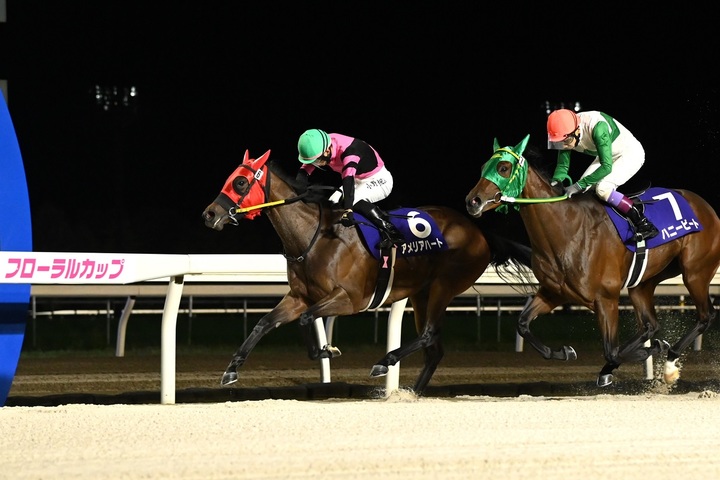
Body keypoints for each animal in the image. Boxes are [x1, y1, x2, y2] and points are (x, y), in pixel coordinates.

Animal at [202, 149, 531, 395]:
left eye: (240, 183)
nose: (209, 214)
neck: (315, 236)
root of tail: (479, 231)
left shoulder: (351, 299)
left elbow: (308, 319)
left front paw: (326, 351)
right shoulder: (299, 297)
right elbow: (264, 323)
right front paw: (231, 370)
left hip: (443, 286)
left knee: (428, 334)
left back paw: (385, 362)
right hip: (421, 294)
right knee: (434, 349)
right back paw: (411, 392)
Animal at [465, 134, 720, 387]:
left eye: (503, 167)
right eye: (483, 167)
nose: (472, 201)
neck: (567, 231)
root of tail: (706, 207)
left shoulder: (606, 298)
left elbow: (612, 351)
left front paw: (654, 350)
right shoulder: (553, 293)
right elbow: (523, 324)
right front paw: (565, 352)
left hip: (695, 272)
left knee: (706, 316)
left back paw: (669, 363)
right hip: (643, 282)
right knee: (650, 325)